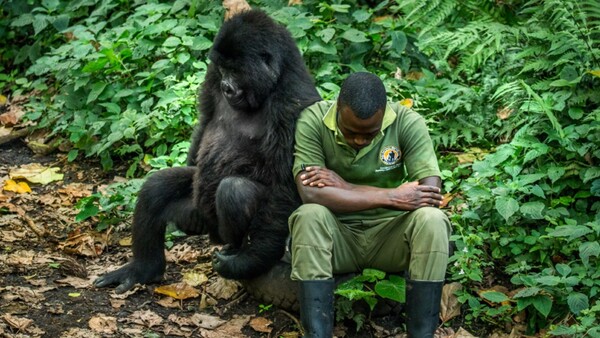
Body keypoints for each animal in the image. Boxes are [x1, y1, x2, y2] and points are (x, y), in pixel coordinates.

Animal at [95, 8, 324, 294]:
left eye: (236, 70)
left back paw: (236, 250)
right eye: (224, 69)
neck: (275, 79)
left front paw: (250, 261)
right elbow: (204, 122)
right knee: (158, 186)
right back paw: (143, 268)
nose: (226, 86)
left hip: (220, 233)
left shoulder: (294, 103)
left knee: (234, 191)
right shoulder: (212, 75)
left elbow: (283, 186)